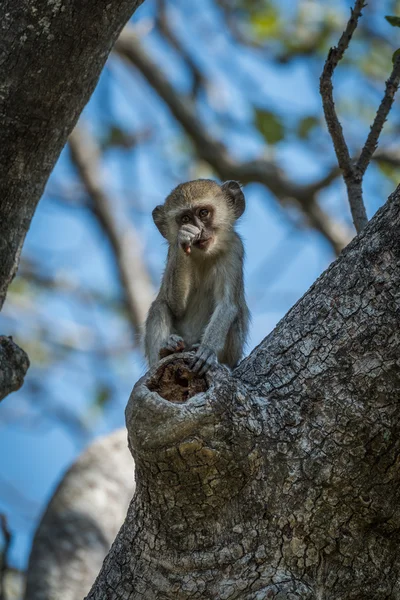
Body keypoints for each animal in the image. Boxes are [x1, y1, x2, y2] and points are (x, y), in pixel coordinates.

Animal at [144, 179, 250, 376]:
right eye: (185, 219)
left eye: (203, 213)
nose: (199, 231)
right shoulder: (172, 251)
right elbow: (174, 306)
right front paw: (184, 237)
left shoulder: (234, 249)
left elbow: (227, 305)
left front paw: (207, 350)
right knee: (159, 305)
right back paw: (166, 350)